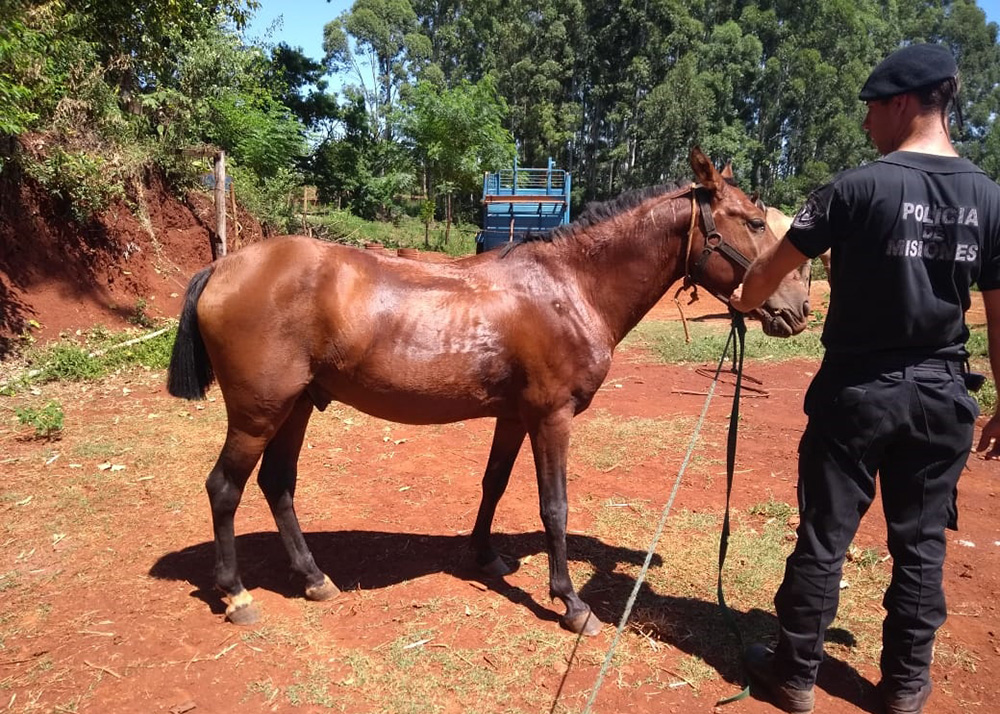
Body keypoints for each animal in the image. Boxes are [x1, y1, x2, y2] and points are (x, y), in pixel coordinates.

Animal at [166, 146, 811, 636]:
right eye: (754, 222)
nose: (796, 310)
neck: (569, 286)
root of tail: (223, 268)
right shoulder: (552, 416)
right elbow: (554, 506)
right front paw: (572, 604)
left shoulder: (515, 415)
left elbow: (494, 483)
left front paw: (486, 556)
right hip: (259, 413)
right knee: (225, 488)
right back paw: (237, 595)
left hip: (297, 406)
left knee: (278, 484)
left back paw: (314, 579)